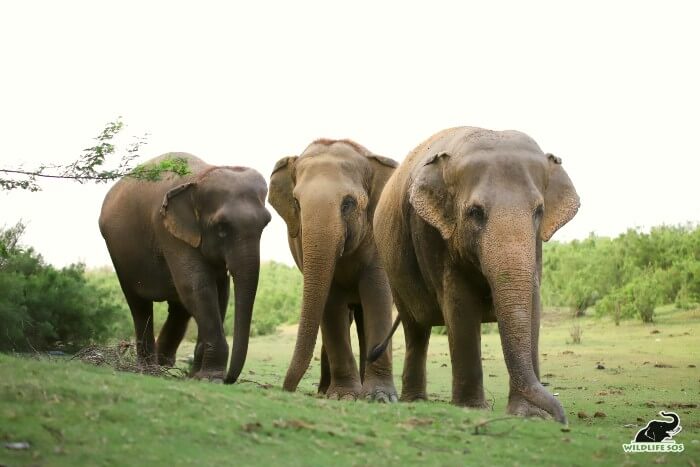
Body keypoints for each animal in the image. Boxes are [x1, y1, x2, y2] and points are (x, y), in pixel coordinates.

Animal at [98, 154, 270, 384]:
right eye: (221, 228)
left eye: (266, 224)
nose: (229, 379)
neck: (199, 178)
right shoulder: (167, 230)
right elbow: (197, 286)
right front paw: (211, 377)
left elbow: (220, 292)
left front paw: (198, 375)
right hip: (119, 253)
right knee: (139, 305)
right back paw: (150, 368)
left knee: (179, 307)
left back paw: (164, 363)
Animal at [270, 139, 400, 402]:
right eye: (296, 203)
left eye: (348, 203)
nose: (287, 389)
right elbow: (330, 303)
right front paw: (343, 396)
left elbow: (378, 294)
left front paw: (380, 397)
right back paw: (325, 390)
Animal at [374, 125, 576, 424]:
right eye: (475, 212)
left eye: (539, 211)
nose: (561, 418)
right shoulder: (433, 235)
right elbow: (461, 304)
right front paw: (471, 409)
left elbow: (532, 304)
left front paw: (529, 415)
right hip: (393, 270)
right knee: (416, 329)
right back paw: (415, 401)